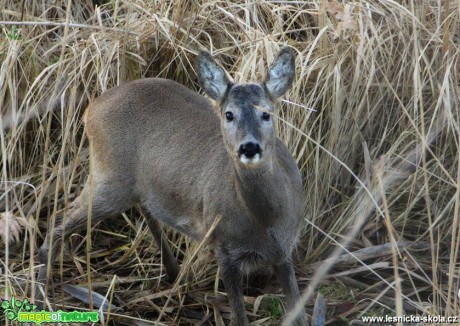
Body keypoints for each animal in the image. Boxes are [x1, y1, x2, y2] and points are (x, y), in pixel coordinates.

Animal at [37, 47, 308, 324]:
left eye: (266, 113)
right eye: (229, 114)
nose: (249, 147)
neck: (265, 222)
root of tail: (90, 109)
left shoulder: (285, 251)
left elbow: (298, 311)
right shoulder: (223, 246)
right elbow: (239, 318)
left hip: (135, 184)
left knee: (143, 209)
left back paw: (175, 273)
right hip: (110, 177)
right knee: (60, 217)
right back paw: (40, 294)